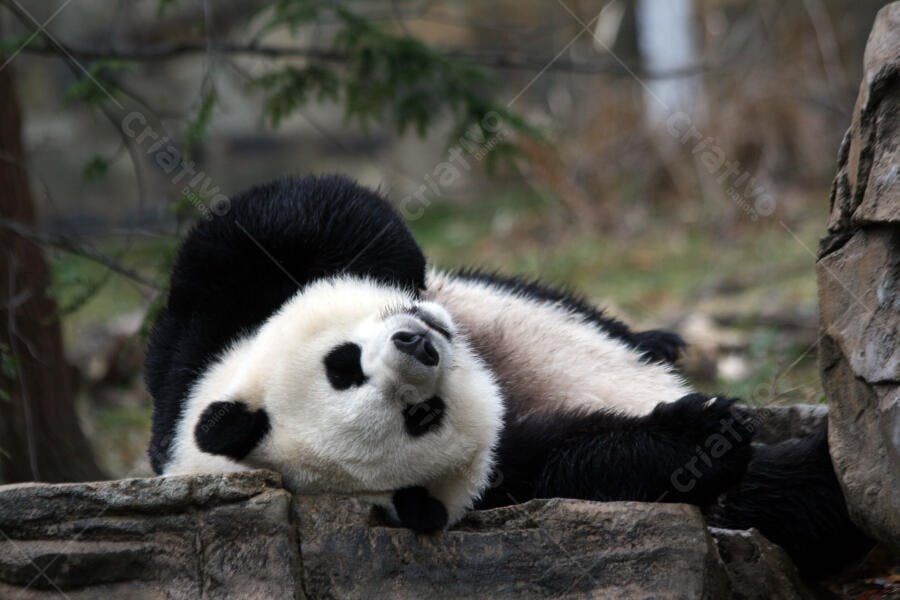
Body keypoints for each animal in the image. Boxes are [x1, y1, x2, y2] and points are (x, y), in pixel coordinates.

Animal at [145, 174, 870, 577]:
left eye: (342, 365)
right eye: (418, 418)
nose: (419, 343)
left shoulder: (202, 347)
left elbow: (293, 217)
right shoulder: (502, 479)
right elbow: (586, 464)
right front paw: (702, 433)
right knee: (790, 495)